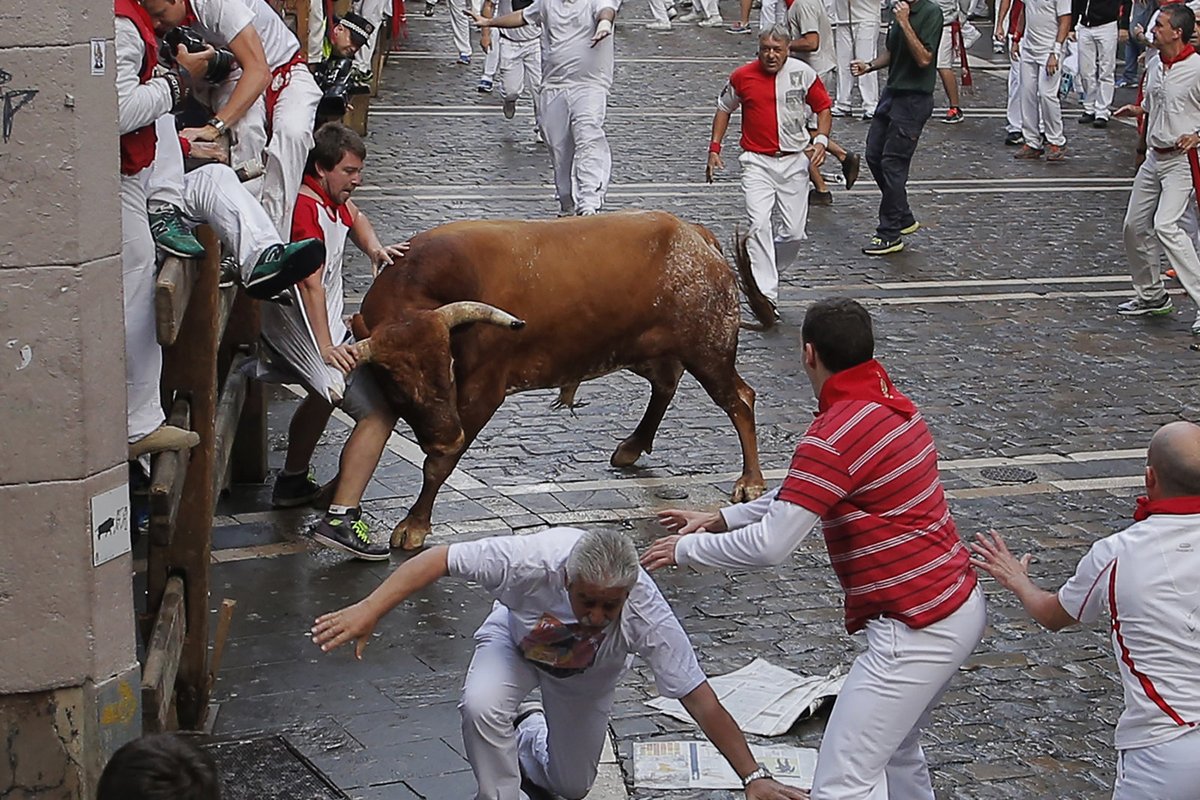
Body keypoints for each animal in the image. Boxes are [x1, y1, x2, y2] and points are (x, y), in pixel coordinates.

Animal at [348, 209, 763, 551]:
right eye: (395, 382)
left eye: (448, 366)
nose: (447, 437)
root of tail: (692, 233)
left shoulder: (482, 391)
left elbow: (438, 465)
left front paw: (414, 524)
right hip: (639, 350)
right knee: (666, 383)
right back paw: (632, 446)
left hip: (708, 350)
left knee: (740, 399)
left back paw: (751, 480)